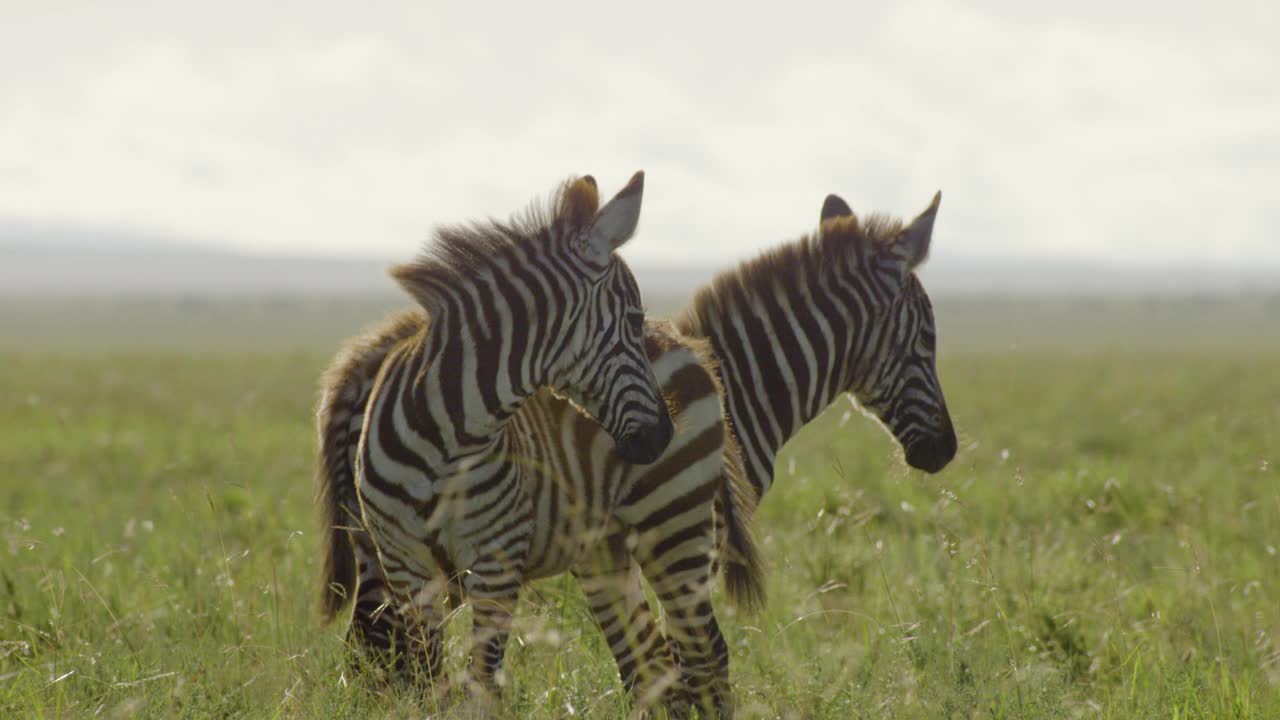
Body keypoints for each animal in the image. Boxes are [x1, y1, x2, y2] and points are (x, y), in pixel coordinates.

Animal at [317, 169, 757, 712]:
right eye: (632, 320)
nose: (662, 436)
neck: (444, 437)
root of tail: (687, 343)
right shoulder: (404, 564)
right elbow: (432, 684)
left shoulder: (497, 564)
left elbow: (481, 689)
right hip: (609, 545)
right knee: (658, 663)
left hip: (675, 521)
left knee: (705, 653)